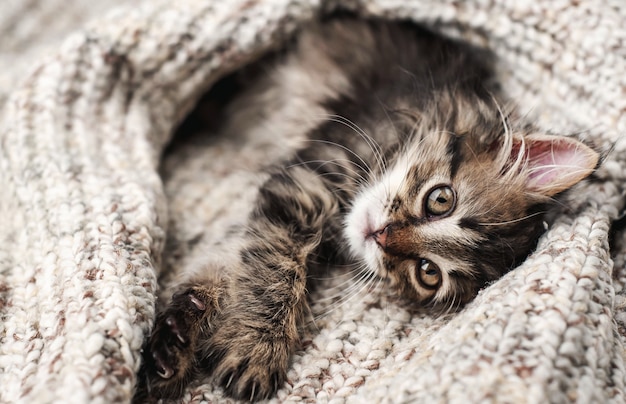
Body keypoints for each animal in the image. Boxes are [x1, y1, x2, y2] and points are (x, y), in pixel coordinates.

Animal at [135, 15, 596, 400]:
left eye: (427, 273)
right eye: (440, 200)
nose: (382, 235)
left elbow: (237, 260)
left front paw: (180, 343)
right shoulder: (307, 184)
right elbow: (273, 272)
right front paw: (257, 345)